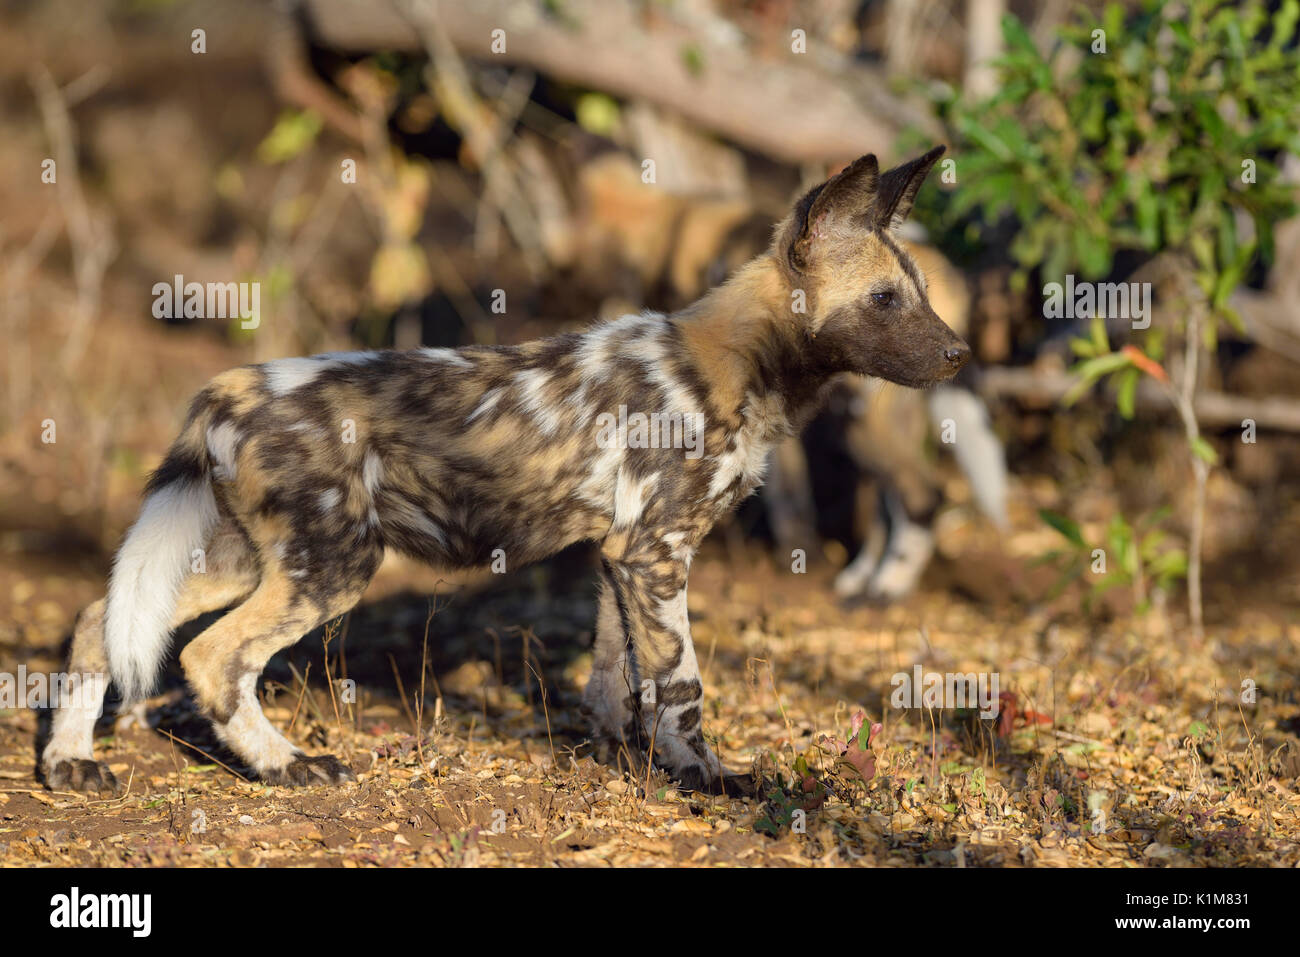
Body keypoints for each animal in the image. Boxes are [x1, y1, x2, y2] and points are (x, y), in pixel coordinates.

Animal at [40, 145, 967, 795]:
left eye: (921, 292)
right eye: (886, 300)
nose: (959, 352)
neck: (739, 364)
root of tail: (225, 388)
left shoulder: (622, 555)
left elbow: (616, 678)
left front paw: (619, 759)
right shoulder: (656, 553)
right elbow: (681, 683)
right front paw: (707, 777)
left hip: (250, 557)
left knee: (97, 617)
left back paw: (69, 761)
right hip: (333, 567)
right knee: (213, 657)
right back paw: (288, 765)